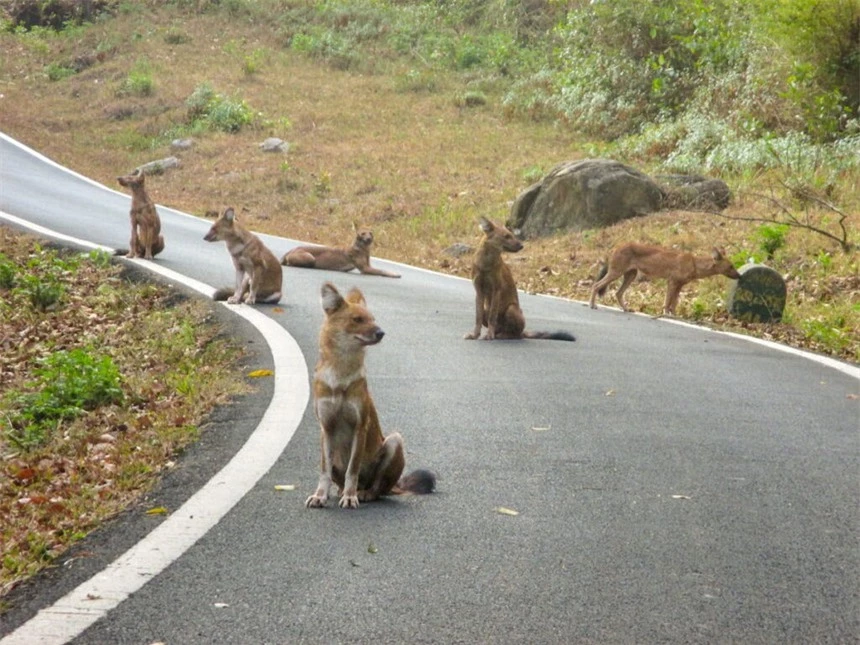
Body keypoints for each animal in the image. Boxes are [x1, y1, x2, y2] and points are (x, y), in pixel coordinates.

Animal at [304, 282, 436, 508]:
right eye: (357, 319)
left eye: (373, 319)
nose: (381, 332)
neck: (340, 373)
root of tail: (396, 486)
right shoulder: (326, 428)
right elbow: (324, 470)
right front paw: (320, 496)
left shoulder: (360, 427)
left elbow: (353, 469)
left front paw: (350, 498)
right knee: (340, 480)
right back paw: (341, 492)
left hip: (394, 440)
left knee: (377, 489)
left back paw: (362, 493)